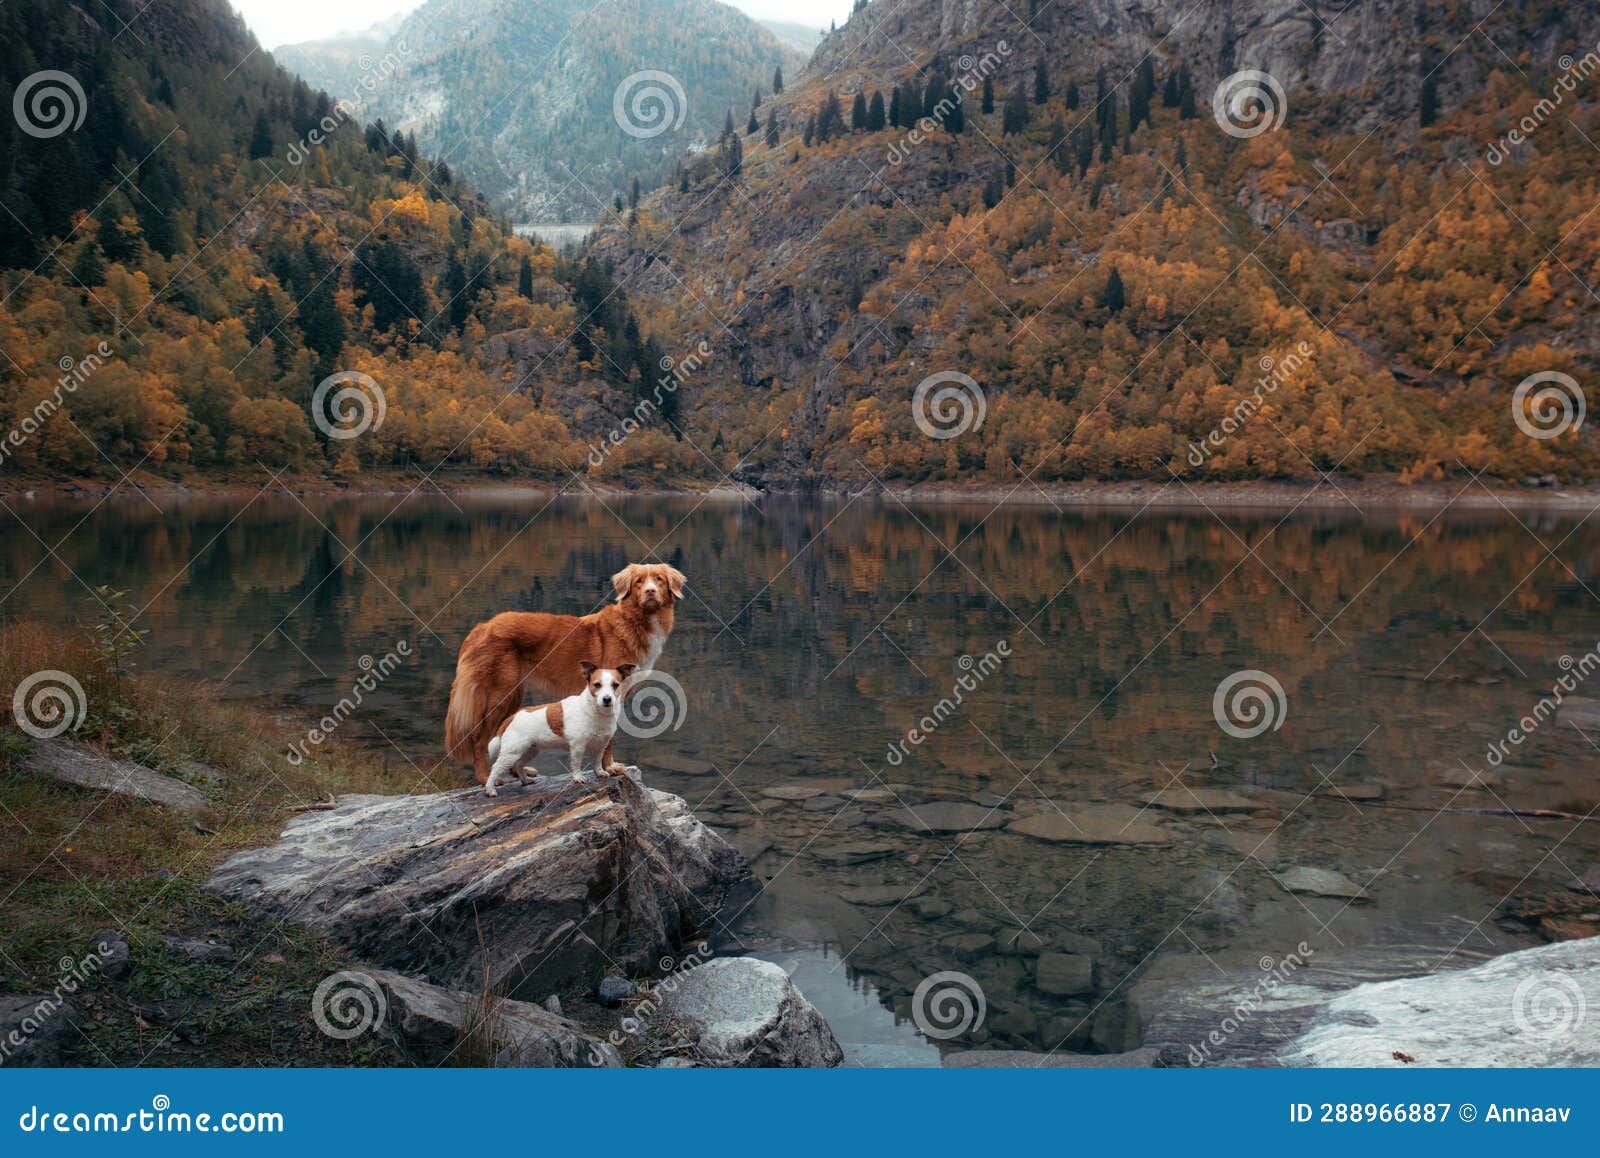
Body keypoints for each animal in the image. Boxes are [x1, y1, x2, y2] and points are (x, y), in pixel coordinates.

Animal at [483, 658, 633, 796]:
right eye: (597, 685)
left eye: (615, 685)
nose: (607, 699)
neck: (596, 712)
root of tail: (512, 716)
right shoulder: (577, 746)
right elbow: (576, 764)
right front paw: (578, 778)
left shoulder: (601, 745)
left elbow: (597, 761)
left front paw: (600, 772)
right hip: (511, 753)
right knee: (496, 768)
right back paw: (490, 789)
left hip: (530, 750)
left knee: (519, 765)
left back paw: (525, 780)